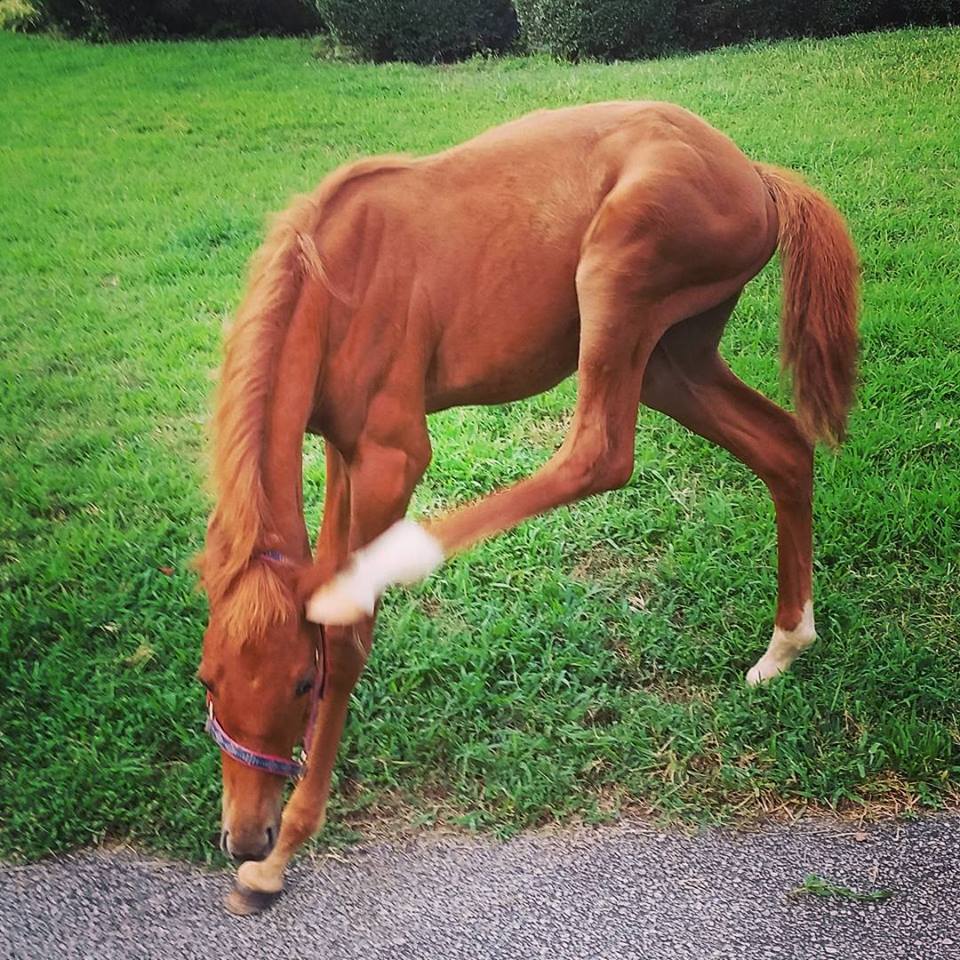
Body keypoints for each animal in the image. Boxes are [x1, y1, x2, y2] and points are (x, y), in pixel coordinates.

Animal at [193, 101, 856, 912]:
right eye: (207, 679)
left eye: (299, 685)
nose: (243, 836)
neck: (335, 282)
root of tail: (755, 176)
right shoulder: (343, 452)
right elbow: (319, 567)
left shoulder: (390, 454)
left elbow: (344, 632)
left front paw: (282, 855)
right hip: (675, 357)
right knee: (784, 449)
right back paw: (785, 645)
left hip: (618, 281)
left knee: (600, 452)